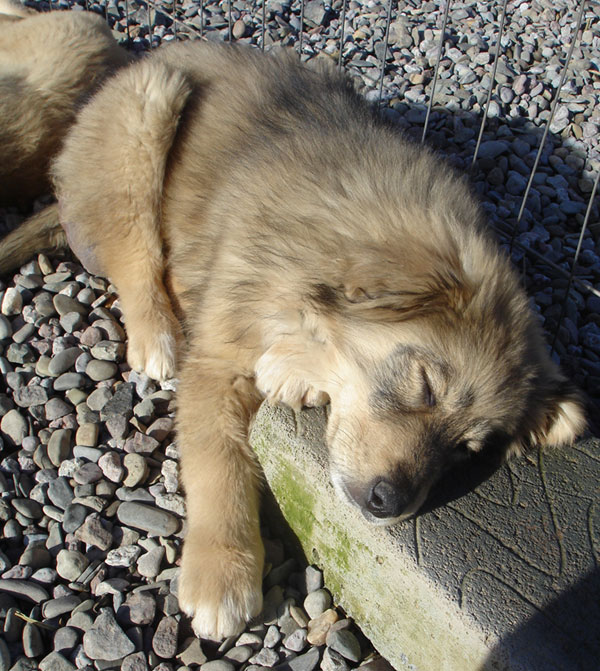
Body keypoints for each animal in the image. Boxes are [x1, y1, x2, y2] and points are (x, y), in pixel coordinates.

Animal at [0, 40, 584, 640]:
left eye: (464, 451)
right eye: (424, 386)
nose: (388, 503)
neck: (326, 246)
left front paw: (292, 371)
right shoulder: (216, 359)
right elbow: (218, 464)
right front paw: (221, 575)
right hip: (148, 106)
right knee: (132, 253)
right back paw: (155, 332)